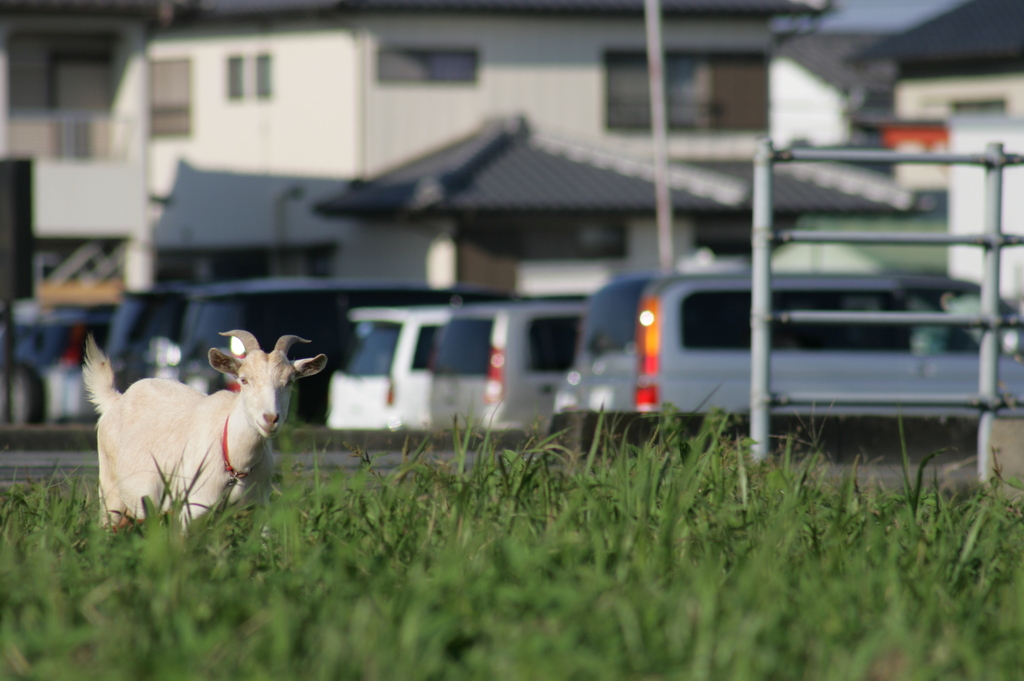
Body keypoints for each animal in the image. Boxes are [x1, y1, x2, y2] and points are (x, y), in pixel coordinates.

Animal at [81, 329, 325, 524]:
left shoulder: (258, 508)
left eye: (289, 382)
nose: (270, 418)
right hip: (110, 490)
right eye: (244, 380)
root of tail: (116, 399)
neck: (235, 461)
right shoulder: (192, 508)